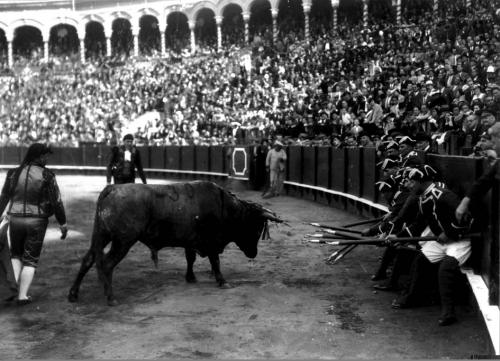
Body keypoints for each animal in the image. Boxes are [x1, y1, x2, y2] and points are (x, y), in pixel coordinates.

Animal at [68, 180, 284, 304]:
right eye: (255, 227)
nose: (254, 253)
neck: (225, 207)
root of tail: (111, 188)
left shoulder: (191, 240)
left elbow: (190, 259)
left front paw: (191, 277)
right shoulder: (211, 240)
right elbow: (215, 261)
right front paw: (222, 281)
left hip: (101, 235)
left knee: (88, 260)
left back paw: (73, 294)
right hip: (122, 241)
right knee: (106, 264)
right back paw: (110, 297)